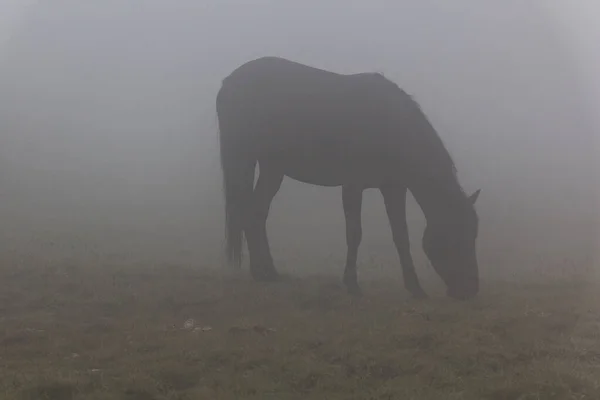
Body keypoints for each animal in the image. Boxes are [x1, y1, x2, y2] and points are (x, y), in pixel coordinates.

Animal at [216, 56, 482, 300]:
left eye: (473, 235)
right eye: (457, 235)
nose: (470, 290)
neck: (390, 126)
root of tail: (228, 83)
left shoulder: (393, 188)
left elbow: (401, 235)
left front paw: (415, 287)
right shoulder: (353, 186)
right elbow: (354, 233)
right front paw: (352, 284)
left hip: (273, 168)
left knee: (257, 212)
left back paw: (268, 273)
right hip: (245, 160)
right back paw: (260, 272)